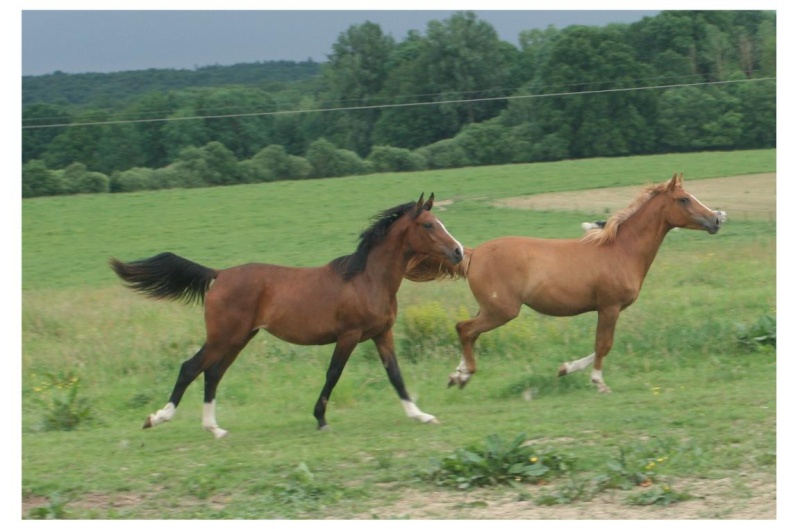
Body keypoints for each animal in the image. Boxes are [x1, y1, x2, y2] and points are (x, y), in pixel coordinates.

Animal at [111, 194, 462, 438]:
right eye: (429, 224)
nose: (458, 251)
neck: (367, 279)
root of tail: (219, 274)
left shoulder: (381, 334)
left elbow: (395, 374)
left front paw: (421, 415)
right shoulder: (348, 335)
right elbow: (333, 374)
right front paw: (321, 419)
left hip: (239, 338)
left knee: (212, 373)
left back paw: (215, 429)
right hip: (223, 336)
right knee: (190, 368)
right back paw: (157, 418)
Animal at [406, 173, 724, 392]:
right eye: (684, 199)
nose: (716, 220)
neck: (621, 250)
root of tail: (471, 254)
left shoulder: (608, 309)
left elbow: (600, 346)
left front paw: (564, 369)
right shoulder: (609, 307)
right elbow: (604, 345)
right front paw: (598, 382)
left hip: (490, 308)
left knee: (469, 333)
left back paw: (456, 374)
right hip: (502, 311)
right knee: (465, 329)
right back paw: (464, 375)